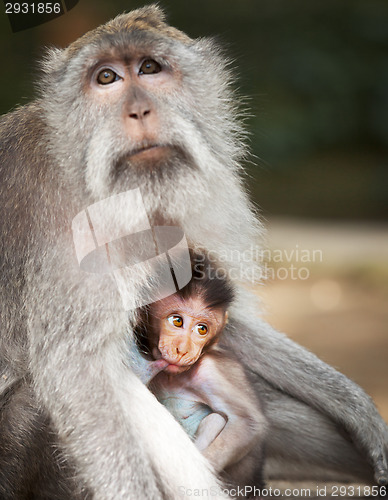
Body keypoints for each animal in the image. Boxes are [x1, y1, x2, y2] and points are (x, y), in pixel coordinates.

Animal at [132, 260, 268, 494]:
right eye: (177, 321)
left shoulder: (209, 371)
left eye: (202, 329)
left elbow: (249, 423)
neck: (173, 377)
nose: (183, 350)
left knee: (215, 419)